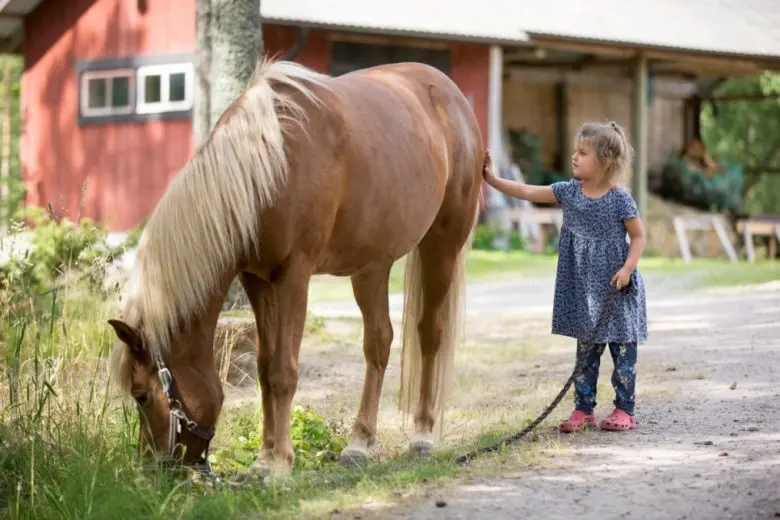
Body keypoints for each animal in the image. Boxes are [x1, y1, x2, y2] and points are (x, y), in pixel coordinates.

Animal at [106, 55, 484, 476]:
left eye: (141, 394)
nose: (152, 467)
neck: (269, 166)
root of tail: (450, 94)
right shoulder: (256, 279)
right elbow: (264, 368)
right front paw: (264, 458)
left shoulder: (294, 276)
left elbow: (283, 371)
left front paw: (280, 465)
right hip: (371, 266)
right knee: (379, 342)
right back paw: (359, 443)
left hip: (441, 246)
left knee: (429, 335)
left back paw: (421, 435)